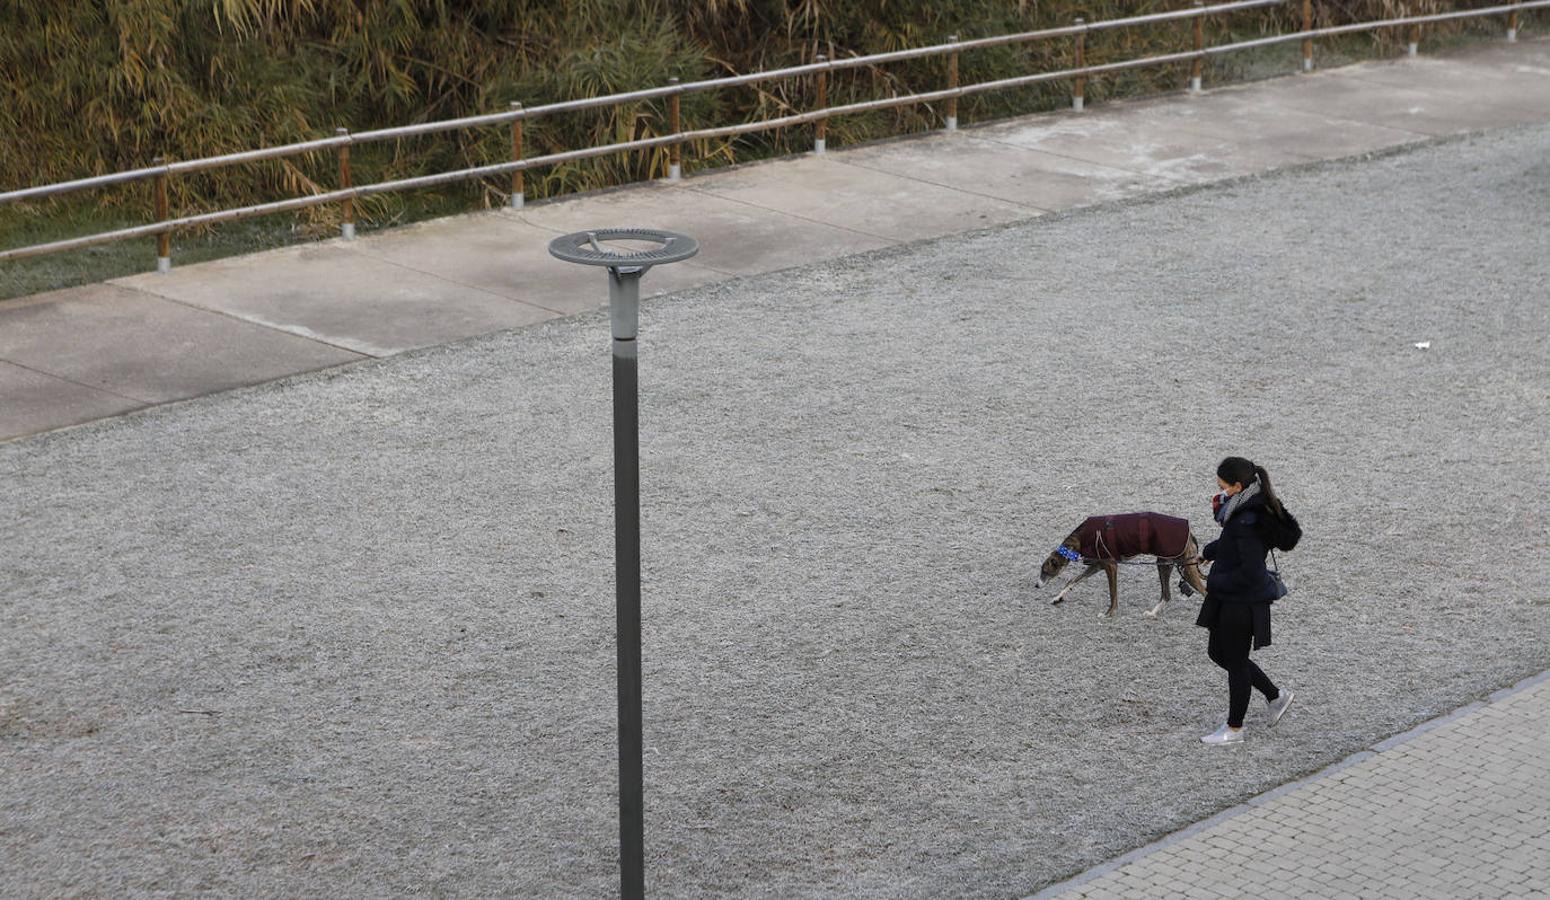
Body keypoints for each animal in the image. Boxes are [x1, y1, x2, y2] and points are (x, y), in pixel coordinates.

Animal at [1035, 511, 1202, 616]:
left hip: (1183, 568)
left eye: (1045, 571)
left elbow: (1113, 594)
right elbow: (1072, 580)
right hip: (1165, 564)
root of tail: (1191, 535)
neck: (1079, 539)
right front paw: (1058, 597)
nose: (1036, 585)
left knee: (1204, 591)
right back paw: (1152, 613)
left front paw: (1109, 614)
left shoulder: (1110, 566)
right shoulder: (1098, 564)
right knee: (1166, 595)